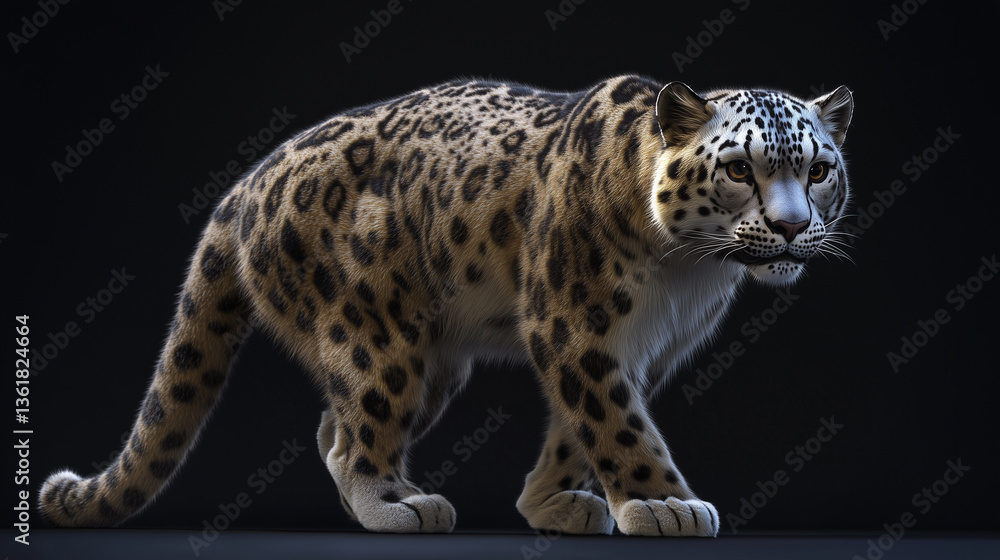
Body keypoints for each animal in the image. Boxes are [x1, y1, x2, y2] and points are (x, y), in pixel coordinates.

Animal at [40, 75, 853, 537]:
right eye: (740, 169)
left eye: (818, 170)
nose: (791, 227)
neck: (689, 275)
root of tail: (246, 184)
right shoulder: (574, 325)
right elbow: (617, 423)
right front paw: (664, 505)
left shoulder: (640, 348)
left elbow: (579, 427)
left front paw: (552, 504)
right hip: (377, 337)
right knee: (358, 430)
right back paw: (399, 507)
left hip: (432, 365)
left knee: (331, 430)